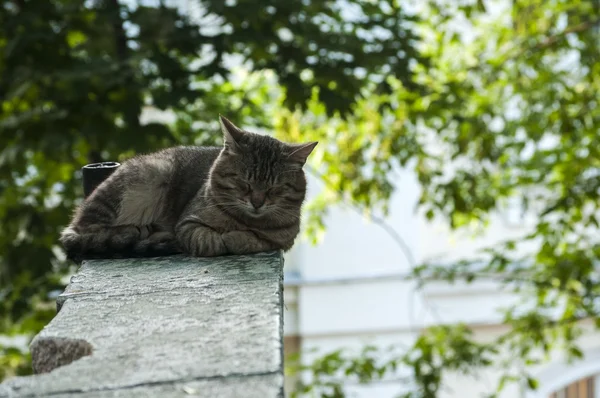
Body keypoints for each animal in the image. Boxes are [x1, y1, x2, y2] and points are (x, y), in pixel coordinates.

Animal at [58, 115, 316, 262]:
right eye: (244, 183)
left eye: (274, 189)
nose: (257, 202)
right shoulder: (188, 223)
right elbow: (210, 240)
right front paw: (226, 237)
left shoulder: (283, 238)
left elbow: (255, 239)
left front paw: (238, 236)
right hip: (149, 176)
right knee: (91, 233)